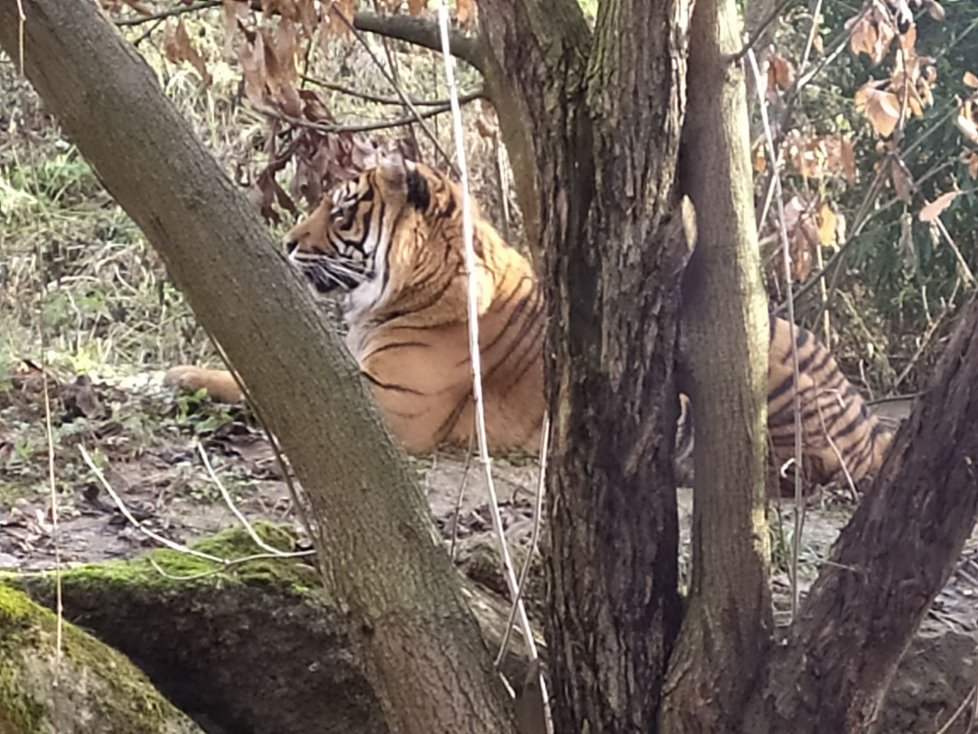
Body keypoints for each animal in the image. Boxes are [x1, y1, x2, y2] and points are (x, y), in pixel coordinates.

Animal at [166, 157, 892, 488]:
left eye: (341, 211)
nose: (287, 241)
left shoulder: (389, 404)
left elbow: (256, 383)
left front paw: (179, 380)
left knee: (808, 465)